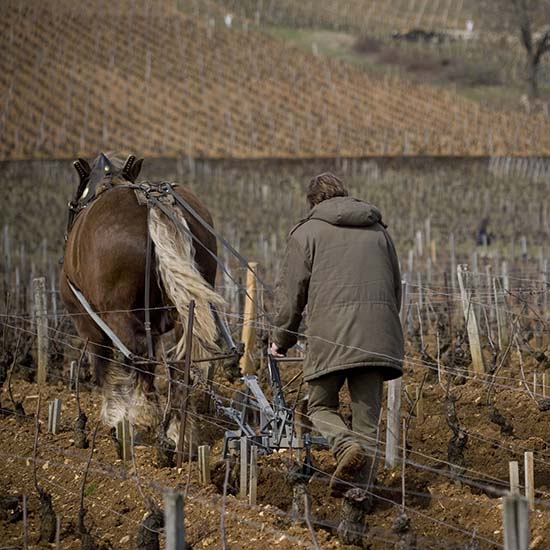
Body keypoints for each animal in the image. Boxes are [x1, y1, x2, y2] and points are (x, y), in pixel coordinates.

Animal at [60, 153, 224, 450]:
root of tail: (154, 203)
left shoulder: (86, 321)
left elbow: (103, 365)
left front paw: (114, 415)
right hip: (187, 310)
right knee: (179, 363)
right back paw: (178, 431)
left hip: (119, 314)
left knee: (138, 356)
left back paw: (140, 418)